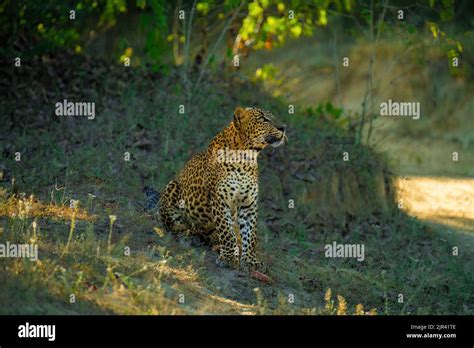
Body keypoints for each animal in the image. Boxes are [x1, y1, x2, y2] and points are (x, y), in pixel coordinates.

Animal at [157, 106, 286, 272]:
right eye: (264, 119)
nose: (283, 127)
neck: (247, 158)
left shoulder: (249, 204)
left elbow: (250, 235)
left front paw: (251, 261)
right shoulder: (220, 199)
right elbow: (226, 230)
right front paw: (229, 258)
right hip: (172, 187)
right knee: (175, 225)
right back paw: (188, 236)